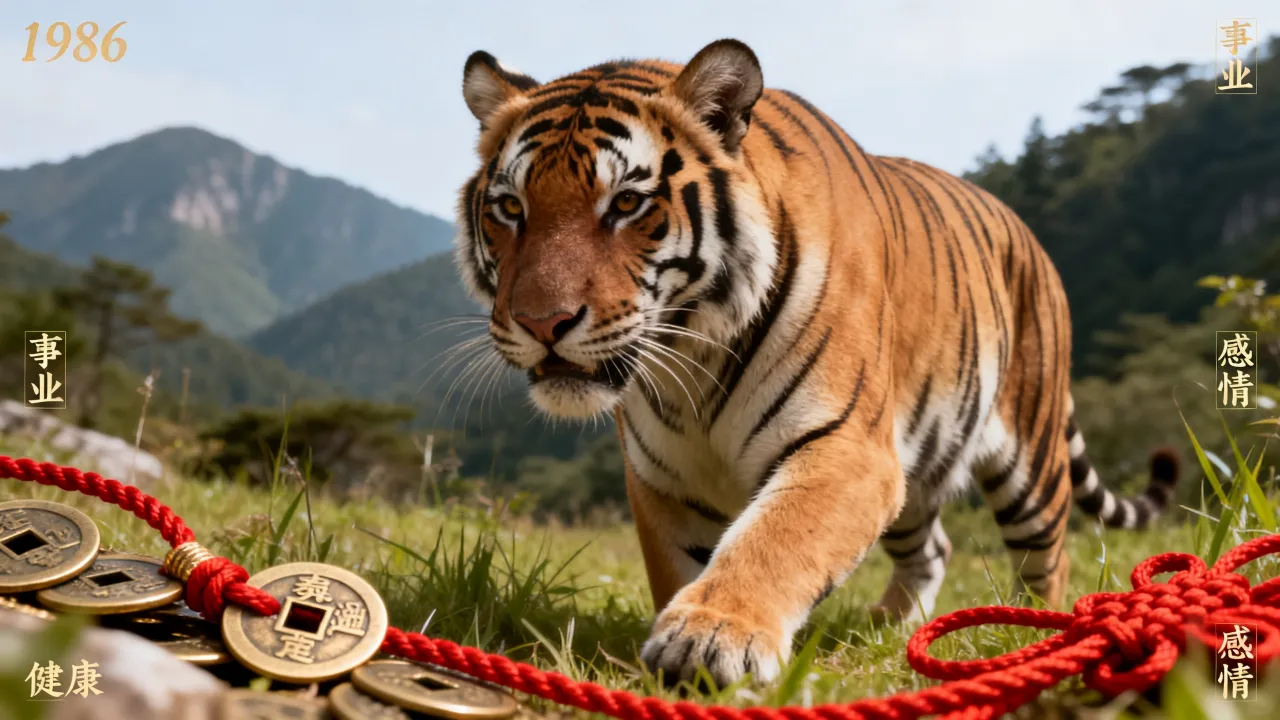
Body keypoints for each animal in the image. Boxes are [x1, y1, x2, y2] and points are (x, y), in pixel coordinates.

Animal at [451, 38, 1180, 687]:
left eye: (626, 203)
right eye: (510, 208)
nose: (542, 323)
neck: (690, 356)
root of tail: (1027, 233)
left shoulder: (846, 445)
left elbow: (775, 539)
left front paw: (712, 637)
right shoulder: (666, 477)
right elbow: (687, 564)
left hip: (1030, 458)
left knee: (1047, 559)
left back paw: (1035, 633)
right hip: (918, 462)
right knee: (932, 547)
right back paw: (889, 628)